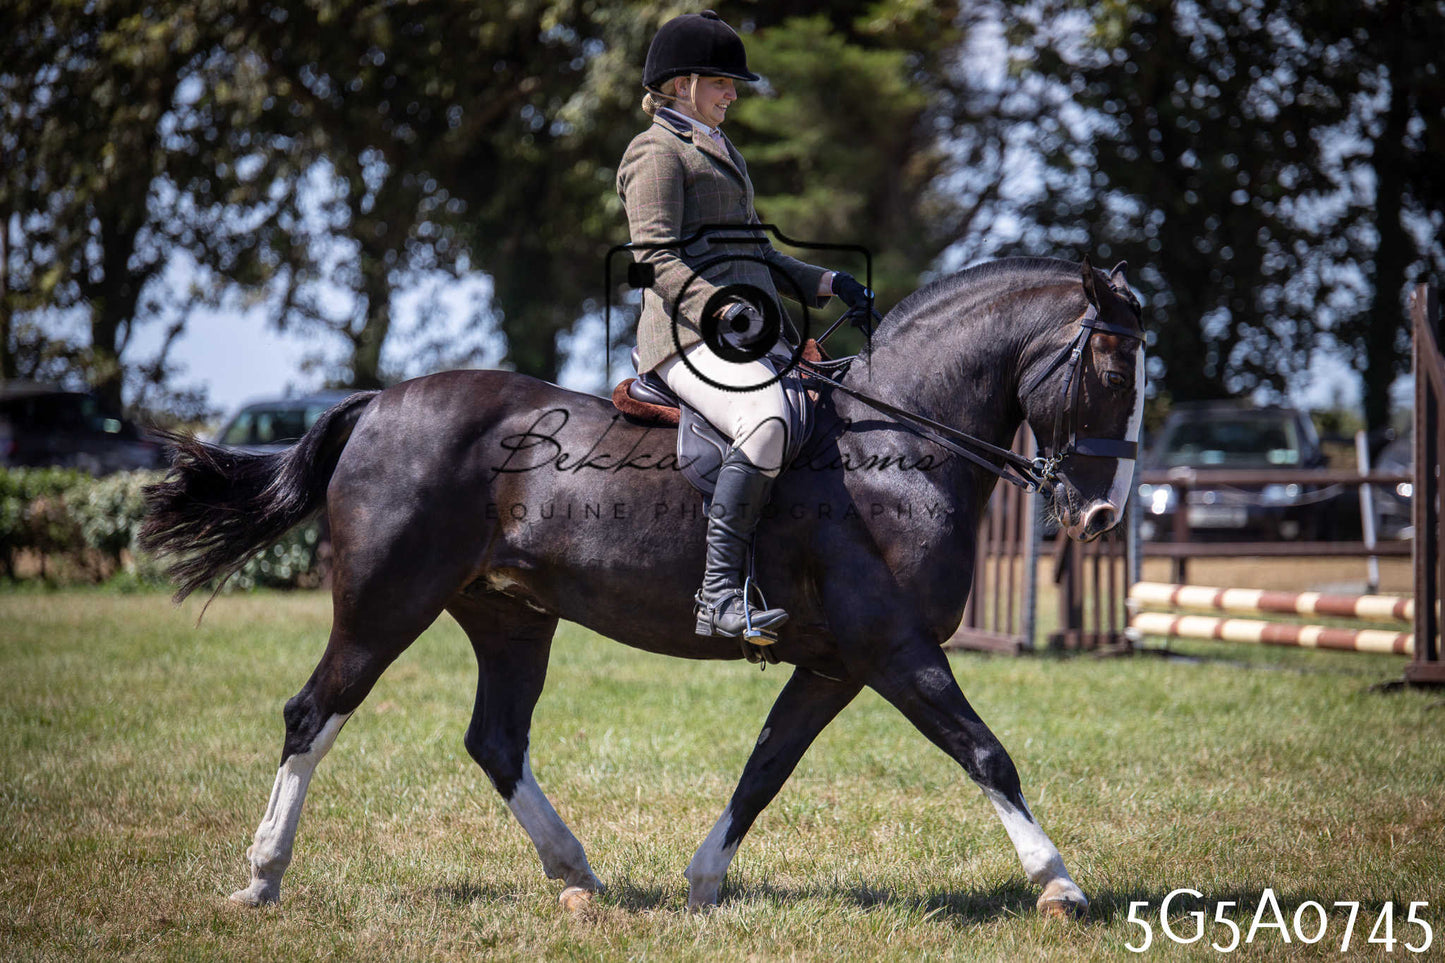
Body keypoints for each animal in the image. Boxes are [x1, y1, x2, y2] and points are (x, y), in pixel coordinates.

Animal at [140, 255, 1146, 919]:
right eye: (1110, 368)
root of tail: (377, 402)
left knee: (495, 739)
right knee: (314, 714)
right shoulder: (893, 647)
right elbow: (986, 752)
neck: (895, 445)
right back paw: (261, 877)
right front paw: (1059, 884)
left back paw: (577, 876)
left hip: (509, 615)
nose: (1100, 515)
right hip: (386, 603)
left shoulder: (835, 664)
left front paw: (703, 882)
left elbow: (765, 766)